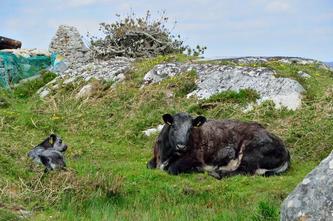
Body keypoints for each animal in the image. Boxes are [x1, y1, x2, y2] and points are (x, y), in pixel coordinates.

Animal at [147, 112, 290, 180]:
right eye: (174, 126)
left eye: (190, 129)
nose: (181, 146)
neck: (165, 155)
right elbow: (148, 165)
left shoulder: (194, 158)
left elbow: (172, 169)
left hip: (251, 152)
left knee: (243, 171)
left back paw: (216, 173)